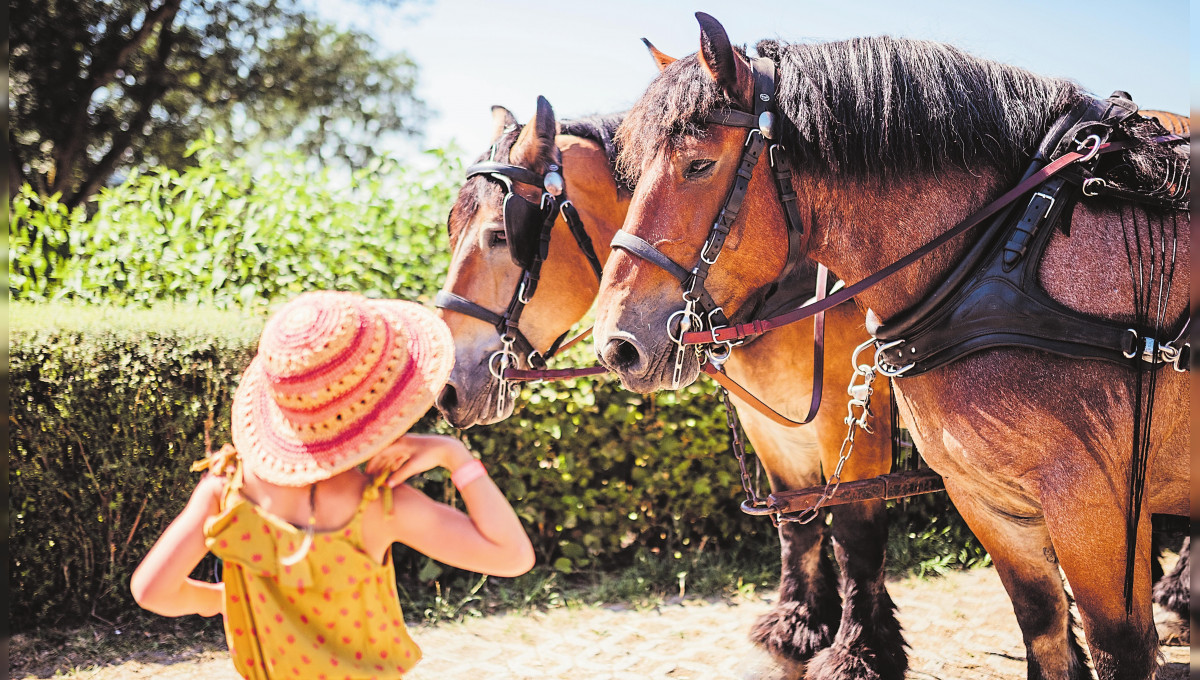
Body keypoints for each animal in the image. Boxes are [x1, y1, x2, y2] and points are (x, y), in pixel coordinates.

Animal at [441, 94, 907, 676]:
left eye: (500, 235)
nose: (447, 386)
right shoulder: (771, 426)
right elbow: (795, 523)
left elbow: (856, 536)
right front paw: (798, 627)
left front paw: (858, 652)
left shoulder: (857, 417)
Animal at [595, 13, 1195, 680]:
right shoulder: (977, 495)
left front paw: (857, 650)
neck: (998, 248)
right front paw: (801, 628)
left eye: (698, 165)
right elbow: (800, 526)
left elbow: (856, 534)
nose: (616, 344)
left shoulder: (1096, 508)